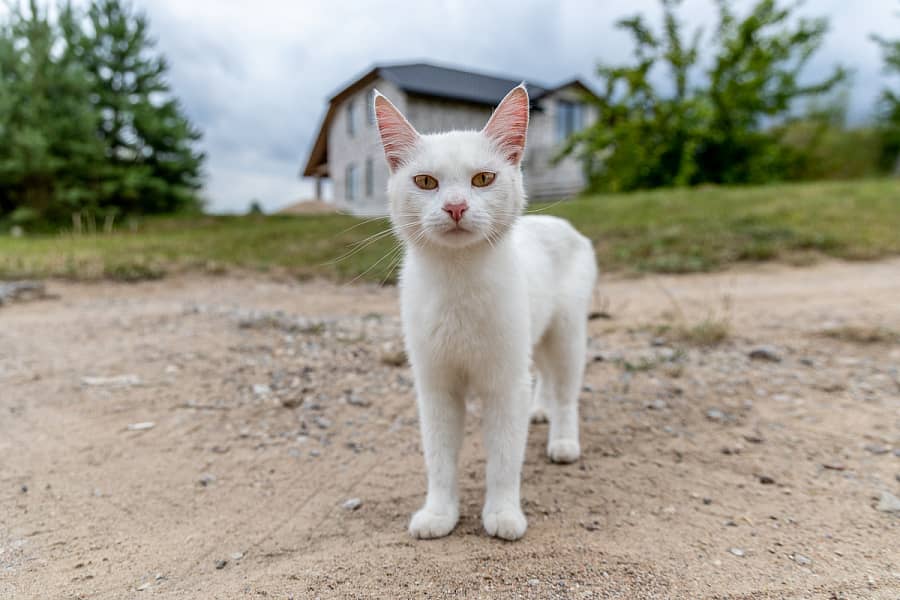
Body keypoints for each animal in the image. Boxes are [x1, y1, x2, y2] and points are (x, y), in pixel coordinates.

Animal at [372, 83, 596, 540]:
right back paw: (540, 409)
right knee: (544, 377)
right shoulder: (436, 386)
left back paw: (563, 440)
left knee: (566, 390)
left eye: (483, 179)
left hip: (566, 334)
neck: (459, 283)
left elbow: (506, 456)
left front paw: (504, 513)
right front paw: (439, 513)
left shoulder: (505, 383)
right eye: (425, 182)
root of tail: (562, 223)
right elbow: (439, 458)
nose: (456, 207)